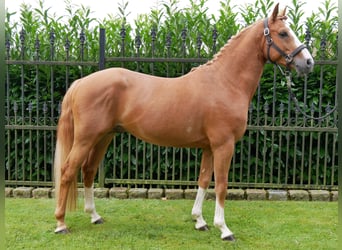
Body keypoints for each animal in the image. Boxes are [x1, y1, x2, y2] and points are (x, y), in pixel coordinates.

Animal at [54, 3, 314, 241]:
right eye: (283, 33)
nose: (308, 62)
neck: (225, 82)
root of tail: (81, 82)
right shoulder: (224, 145)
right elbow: (221, 185)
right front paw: (224, 229)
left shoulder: (209, 147)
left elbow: (203, 181)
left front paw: (200, 221)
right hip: (86, 138)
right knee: (67, 171)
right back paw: (61, 224)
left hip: (104, 137)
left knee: (88, 170)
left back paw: (94, 216)